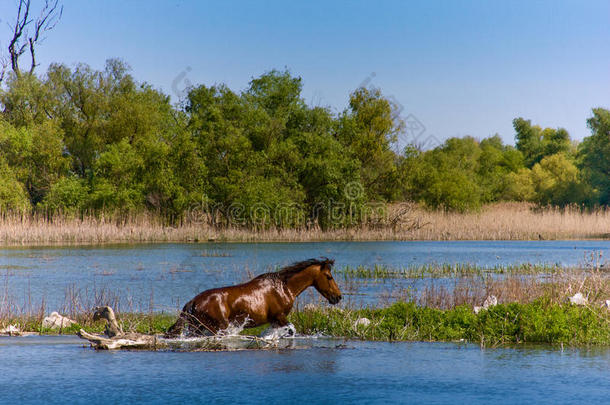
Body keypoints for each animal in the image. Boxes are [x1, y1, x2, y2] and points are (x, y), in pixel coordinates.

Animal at [164, 258, 340, 336]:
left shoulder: (275, 320)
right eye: (329, 277)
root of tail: (193, 301)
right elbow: (291, 330)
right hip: (216, 327)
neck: (284, 288)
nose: (338, 297)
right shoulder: (280, 316)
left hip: (197, 327)